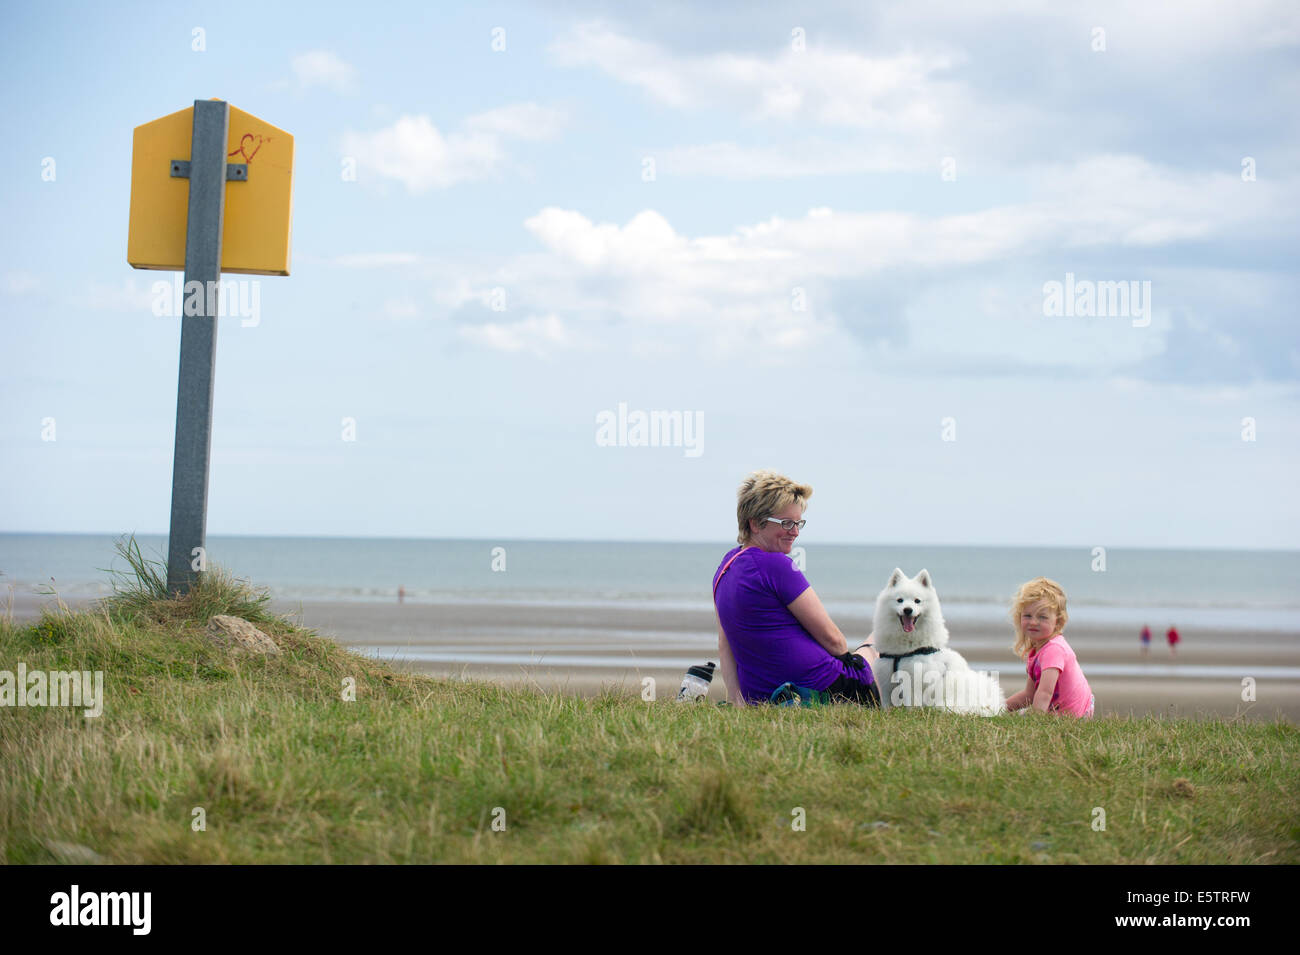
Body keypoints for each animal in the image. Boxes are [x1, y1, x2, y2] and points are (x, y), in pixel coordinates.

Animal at [873, 566, 1003, 717]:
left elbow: (912, 702)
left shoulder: (914, 679)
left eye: (917, 601)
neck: (903, 652)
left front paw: (913, 714)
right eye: (900, 600)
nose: (907, 610)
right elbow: (887, 703)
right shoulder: (886, 678)